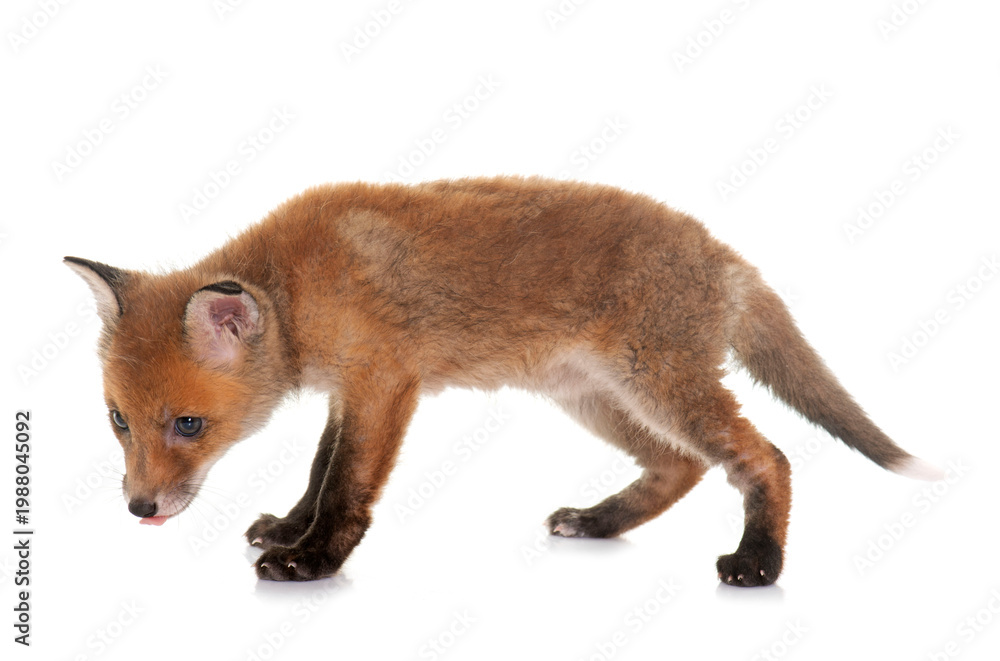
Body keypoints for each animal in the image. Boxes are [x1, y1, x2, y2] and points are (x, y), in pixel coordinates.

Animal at [65, 175, 941, 585]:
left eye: (188, 425)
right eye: (118, 420)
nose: (140, 507)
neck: (295, 288)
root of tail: (725, 255)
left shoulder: (385, 381)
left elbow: (347, 487)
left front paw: (310, 561)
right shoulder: (352, 391)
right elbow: (319, 471)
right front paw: (290, 528)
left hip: (659, 384)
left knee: (766, 458)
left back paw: (758, 561)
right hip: (595, 398)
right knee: (682, 465)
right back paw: (599, 521)